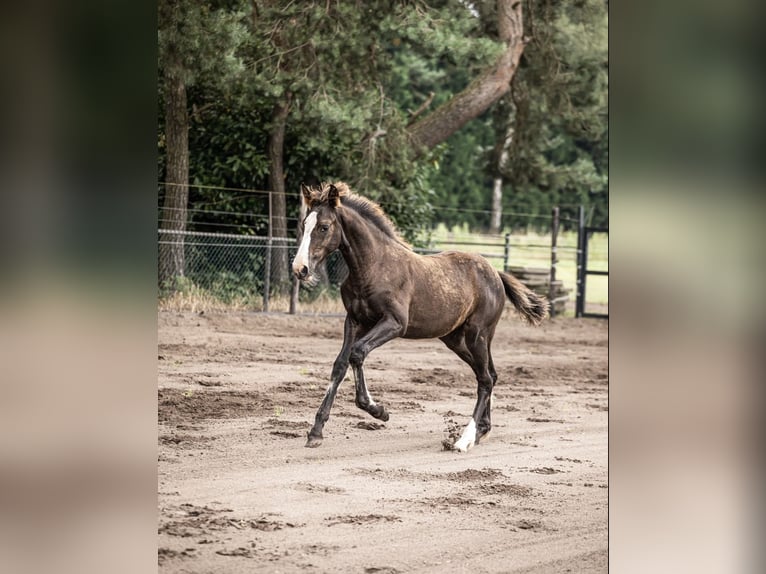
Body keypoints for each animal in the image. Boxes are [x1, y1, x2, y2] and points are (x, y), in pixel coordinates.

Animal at [292, 184, 548, 454]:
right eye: (304, 224)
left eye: (324, 227)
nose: (300, 269)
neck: (374, 266)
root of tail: (496, 274)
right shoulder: (353, 321)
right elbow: (340, 364)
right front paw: (316, 432)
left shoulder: (394, 323)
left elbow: (357, 353)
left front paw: (378, 410)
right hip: (456, 339)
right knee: (490, 374)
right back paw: (482, 431)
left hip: (477, 334)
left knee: (485, 379)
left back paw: (464, 439)